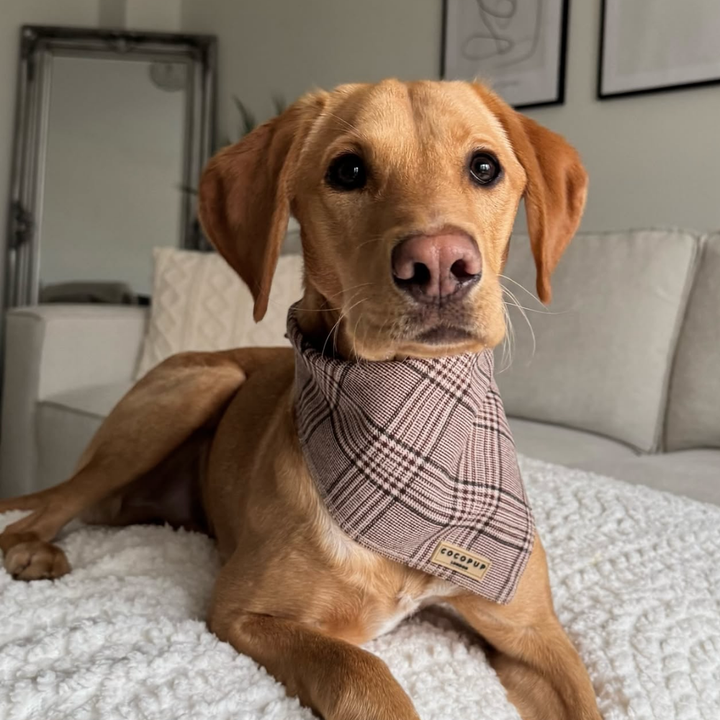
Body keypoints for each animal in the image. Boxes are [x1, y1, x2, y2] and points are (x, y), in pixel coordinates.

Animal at [0, 80, 600, 720]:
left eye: (485, 166)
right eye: (348, 170)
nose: (440, 263)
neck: (415, 421)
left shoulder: (534, 632)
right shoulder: (244, 609)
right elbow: (363, 673)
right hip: (198, 388)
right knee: (51, 506)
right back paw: (33, 549)